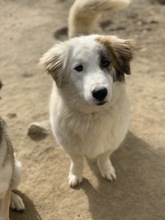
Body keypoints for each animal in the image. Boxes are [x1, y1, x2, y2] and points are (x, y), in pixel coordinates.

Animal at [40, 0, 133, 187]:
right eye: (78, 68)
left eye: (105, 62)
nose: (100, 93)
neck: (93, 116)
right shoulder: (70, 147)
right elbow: (77, 161)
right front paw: (76, 175)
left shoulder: (110, 143)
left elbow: (103, 157)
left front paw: (106, 170)